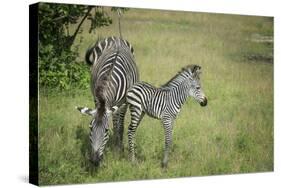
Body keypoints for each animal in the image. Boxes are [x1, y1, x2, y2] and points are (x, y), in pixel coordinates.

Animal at [76, 36, 138, 166]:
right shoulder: (97, 100)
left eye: (106, 131)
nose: (94, 160)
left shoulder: (122, 104)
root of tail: (116, 38)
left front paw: (118, 149)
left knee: (119, 122)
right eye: (90, 128)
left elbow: (118, 126)